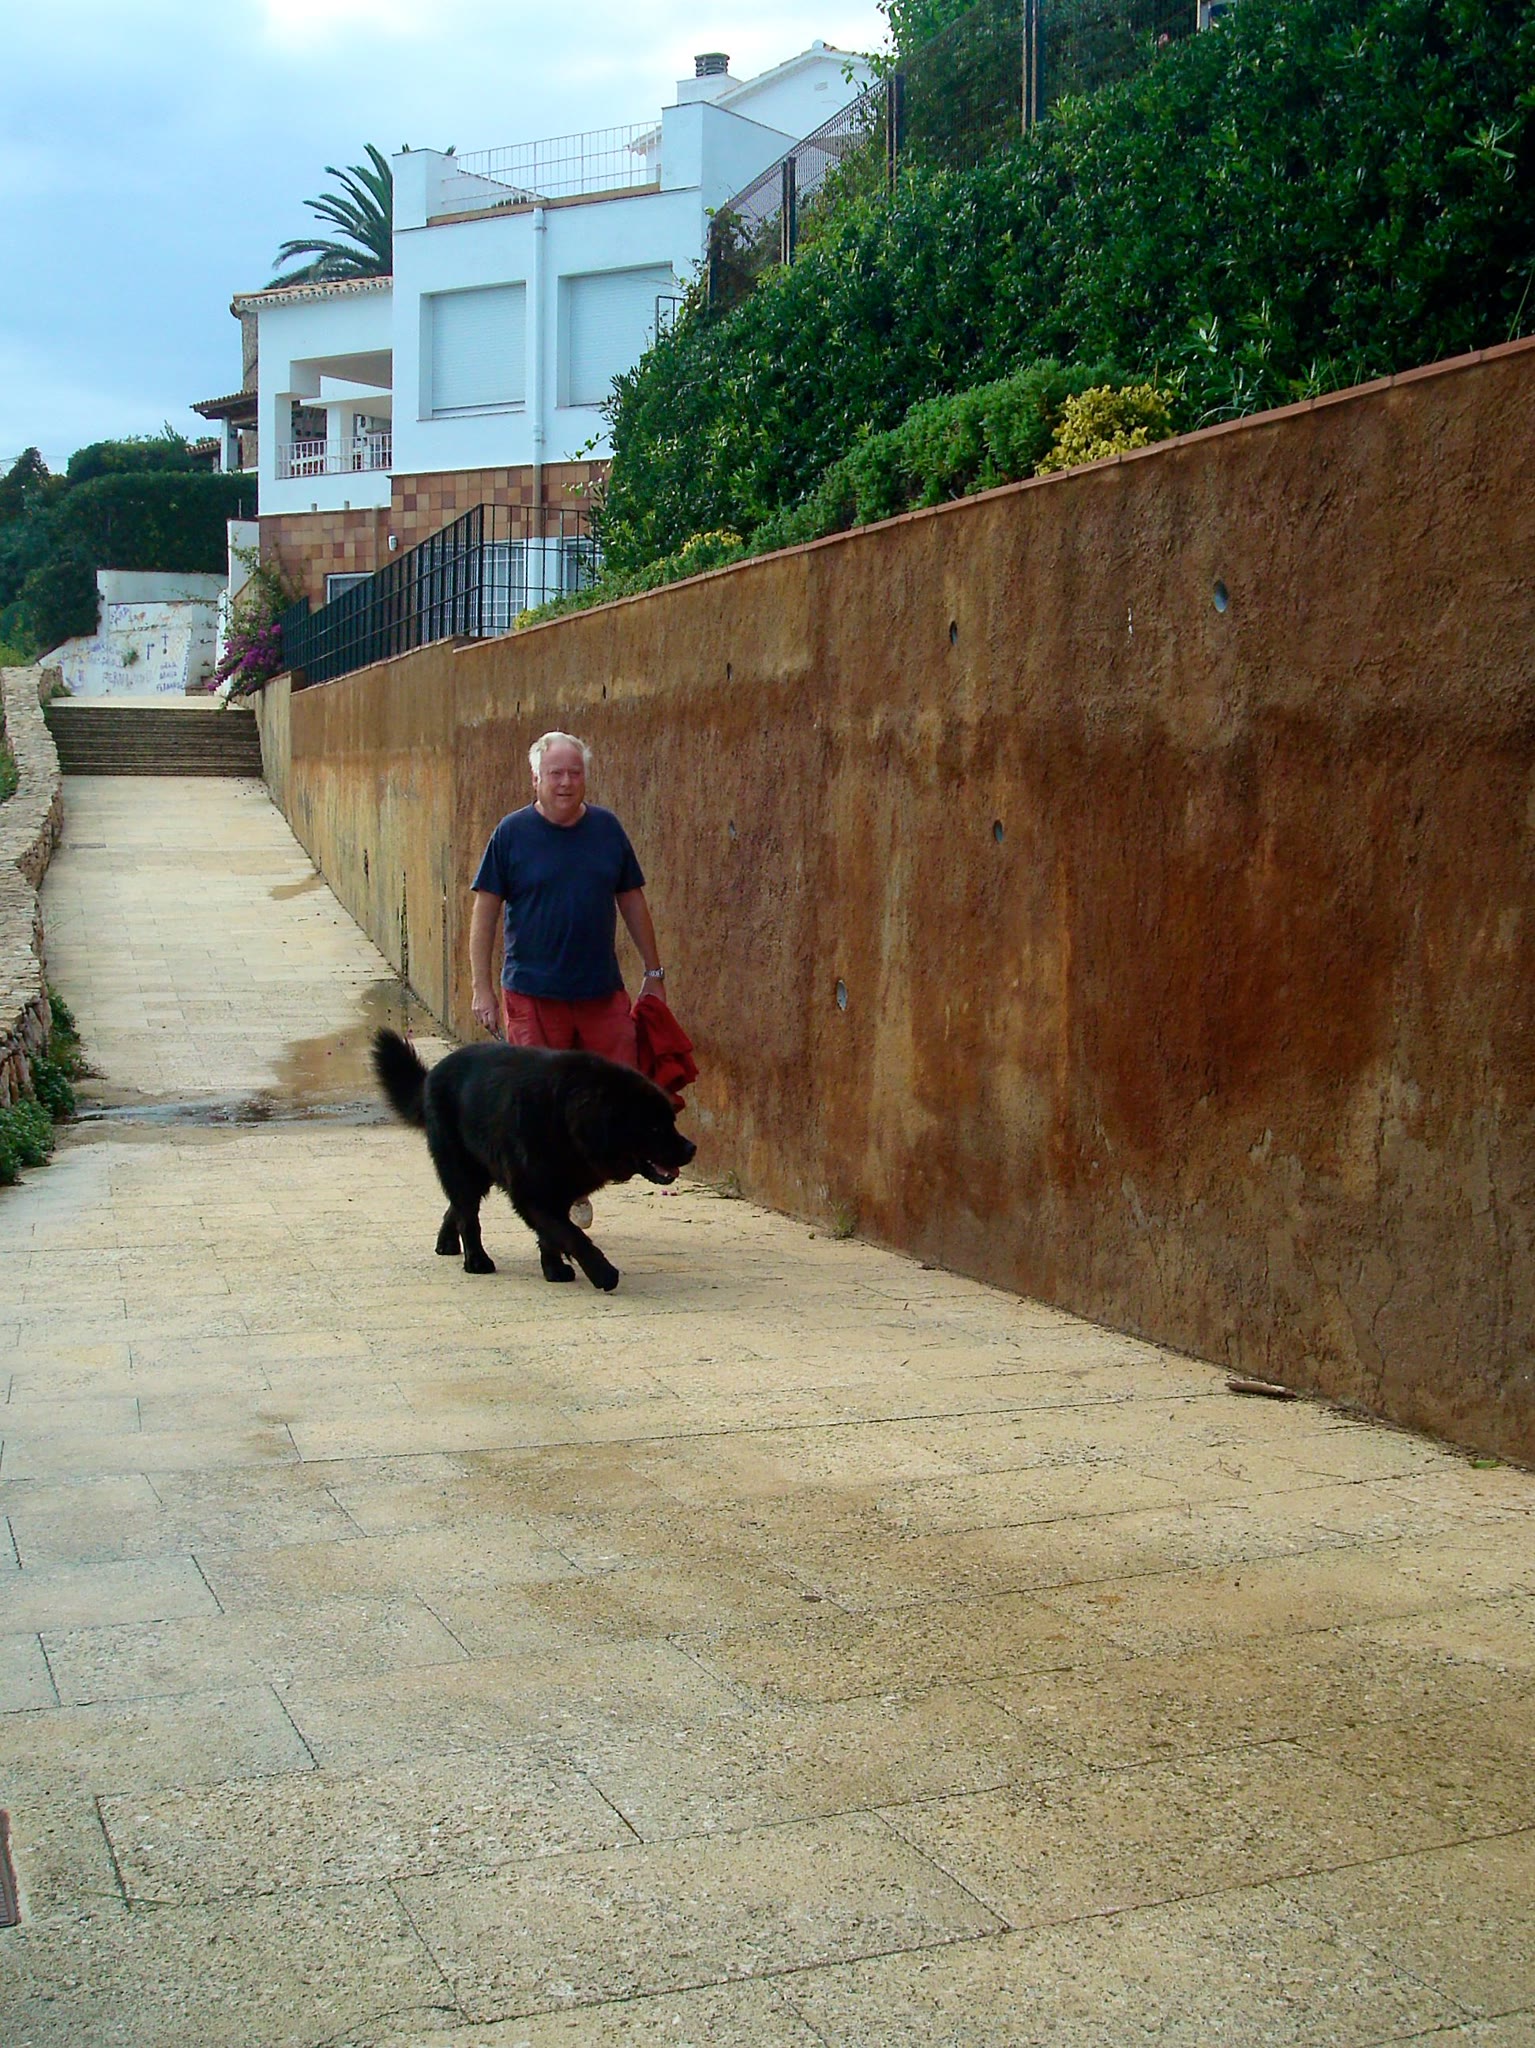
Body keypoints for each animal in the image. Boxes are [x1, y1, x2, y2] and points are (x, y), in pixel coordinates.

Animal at [372, 1029, 696, 1291]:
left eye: (671, 1121)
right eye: (654, 1127)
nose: (692, 1148)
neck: (564, 1121)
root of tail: (432, 1075)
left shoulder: (556, 1193)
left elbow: (551, 1235)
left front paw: (554, 1269)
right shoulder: (532, 1195)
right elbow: (571, 1234)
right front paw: (601, 1272)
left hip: (480, 1170)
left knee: (458, 1206)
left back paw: (447, 1243)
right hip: (462, 1166)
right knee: (468, 1214)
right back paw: (476, 1260)